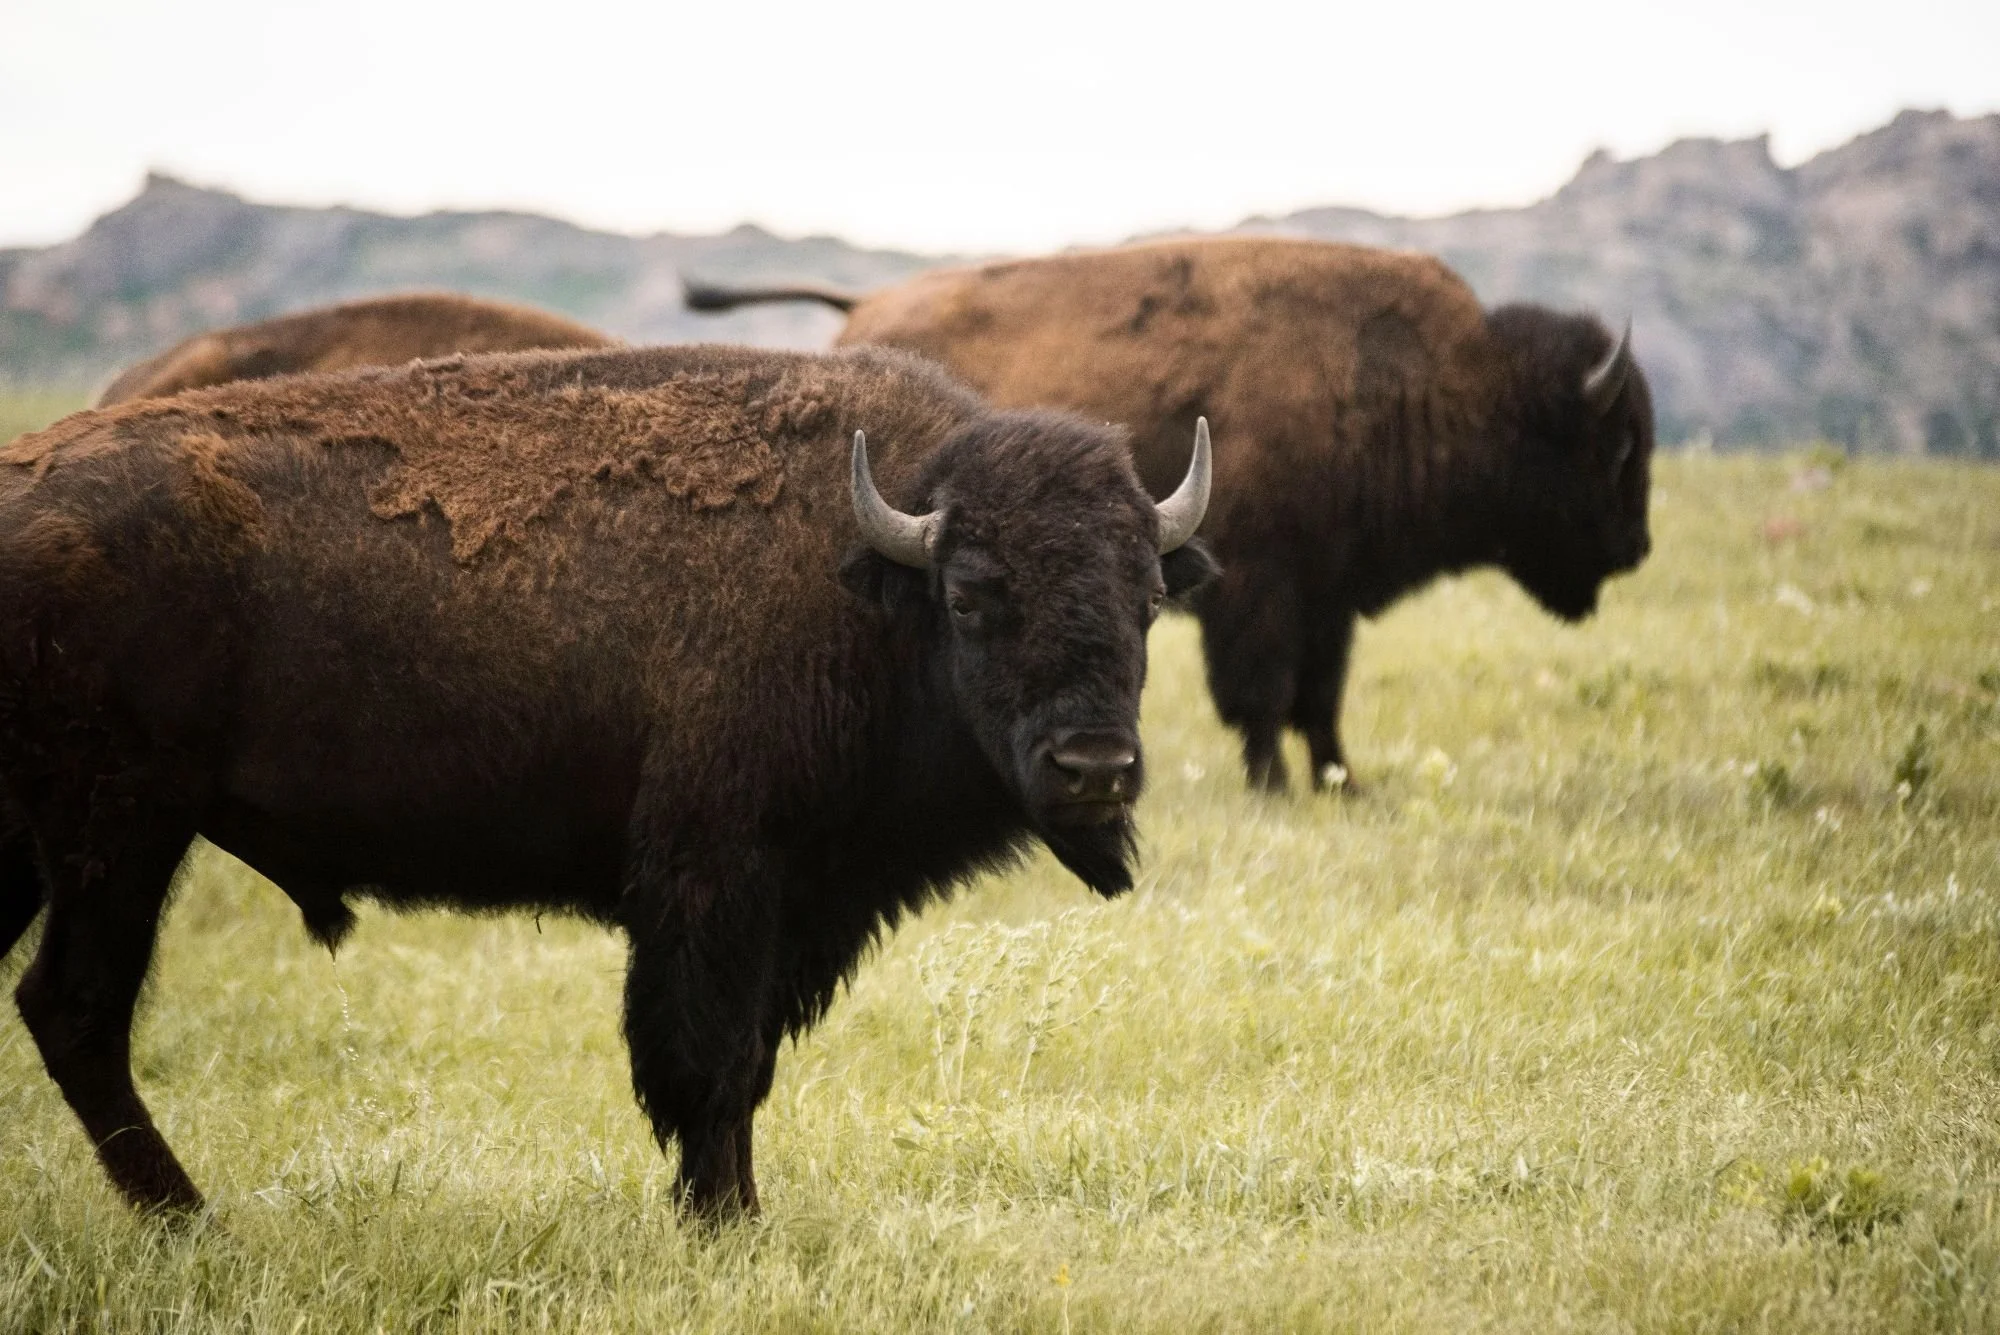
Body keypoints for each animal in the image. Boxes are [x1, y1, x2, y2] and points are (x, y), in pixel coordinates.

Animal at [0, 344, 1215, 1217]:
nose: (1094, 768)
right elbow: (705, 1062)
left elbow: (743, 1064)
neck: (867, 582)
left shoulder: (789, 908)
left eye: (1150, 597)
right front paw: (724, 1223)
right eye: (970, 594)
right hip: (122, 830)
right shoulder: (714, 883)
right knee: (76, 1010)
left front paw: (728, 1212)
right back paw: (189, 1219)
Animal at [689, 236, 1654, 791]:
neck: (1429, 377)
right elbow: (1264, 692)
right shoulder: (1260, 589)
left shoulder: (1328, 596)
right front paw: (1272, 785)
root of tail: (864, 308)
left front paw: (1343, 781)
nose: (1638, 547)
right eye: (1614, 449)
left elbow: (1322, 697)